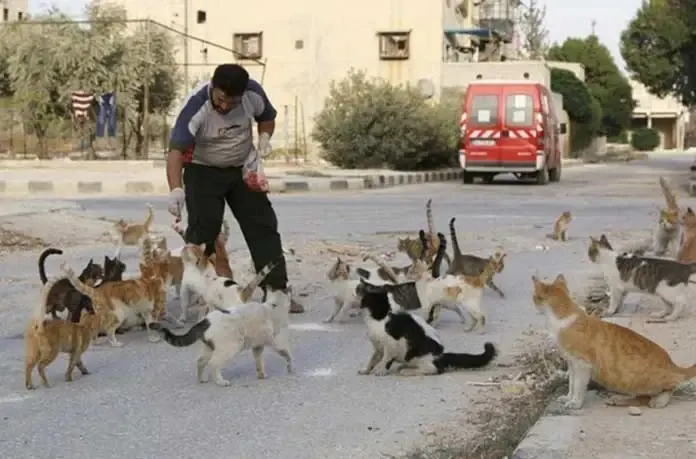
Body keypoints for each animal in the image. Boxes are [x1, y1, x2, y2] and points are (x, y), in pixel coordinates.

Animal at [150, 287, 293, 387]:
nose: (289, 288)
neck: (270, 308)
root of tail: (205, 321)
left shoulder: (258, 345)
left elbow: (259, 362)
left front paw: (261, 375)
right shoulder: (271, 341)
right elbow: (285, 353)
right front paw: (289, 367)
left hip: (209, 348)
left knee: (200, 361)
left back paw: (201, 379)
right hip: (232, 347)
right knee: (213, 363)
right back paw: (221, 382)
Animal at [355, 278, 497, 376]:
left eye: (368, 287)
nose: (360, 283)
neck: (379, 318)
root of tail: (441, 355)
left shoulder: (392, 344)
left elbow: (386, 359)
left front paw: (380, 370)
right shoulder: (377, 347)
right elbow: (372, 359)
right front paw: (366, 370)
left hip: (421, 354)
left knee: (433, 369)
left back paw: (408, 371)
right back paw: (405, 367)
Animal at [532, 273, 696, 409]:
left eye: (534, 297)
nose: (533, 302)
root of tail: (673, 365)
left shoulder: (582, 364)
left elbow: (578, 386)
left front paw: (575, 402)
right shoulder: (571, 363)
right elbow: (571, 384)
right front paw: (568, 397)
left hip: (644, 382)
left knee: (671, 386)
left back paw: (659, 400)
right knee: (642, 398)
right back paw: (619, 400)